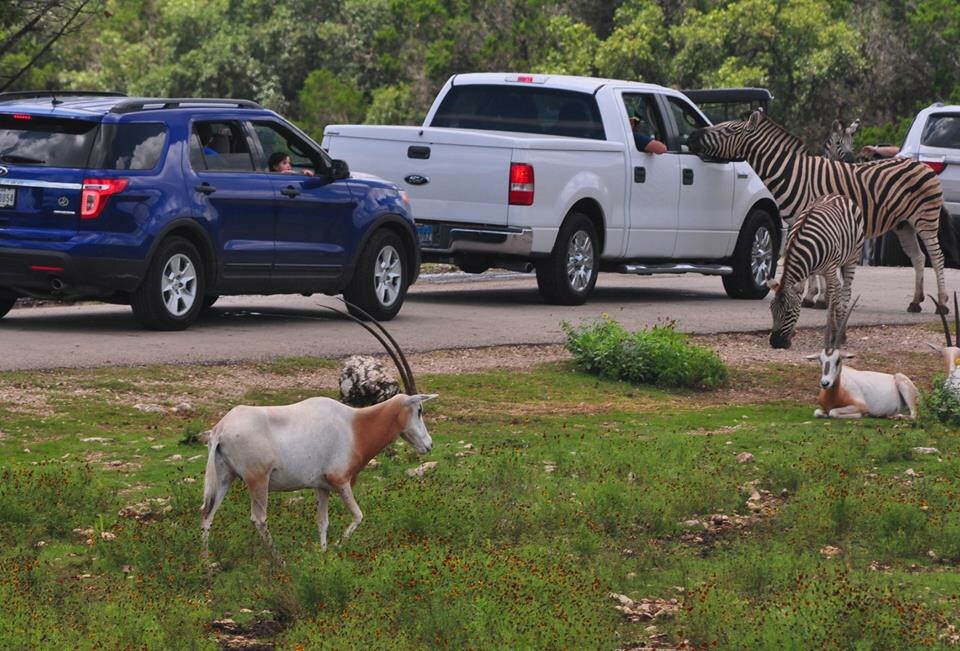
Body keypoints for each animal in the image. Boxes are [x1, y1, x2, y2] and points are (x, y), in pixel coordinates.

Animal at [688, 111, 949, 314]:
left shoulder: (816, 219)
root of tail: (921, 164)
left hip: (925, 219)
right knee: (918, 258)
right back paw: (915, 302)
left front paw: (816, 298)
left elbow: (818, 263)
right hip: (905, 224)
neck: (794, 174)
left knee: (937, 257)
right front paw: (814, 296)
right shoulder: (801, 220)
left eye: (728, 130)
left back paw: (943, 304)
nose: (692, 137)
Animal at [768, 194, 864, 349]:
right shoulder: (807, 271)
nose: (776, 343)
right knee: (837, 289)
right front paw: (792, 333)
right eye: (772, 311)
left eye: (788, 312)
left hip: (852, 257)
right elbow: (802, 295)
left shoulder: (830, 269)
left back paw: (841, 333)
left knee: (844, 292)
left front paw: (834, 336)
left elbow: (832, 299)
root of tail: (837, 195)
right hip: (824, 271)